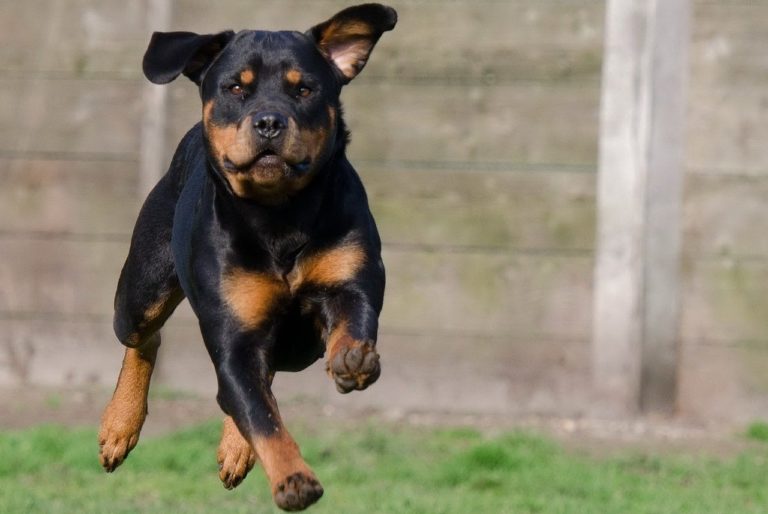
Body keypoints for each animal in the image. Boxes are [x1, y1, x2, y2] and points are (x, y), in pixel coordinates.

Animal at [97, 4, 396, 508]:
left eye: (304, 88)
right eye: (236, 87)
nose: (270, 121)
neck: (280, 215)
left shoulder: (350, 279)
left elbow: (352, 319)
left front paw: (352, 358)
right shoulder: (234, 330)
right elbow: (260, 415)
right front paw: (293, 479)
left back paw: (234, 448)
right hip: (140, 291)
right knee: (146, 338)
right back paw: (119, 428)